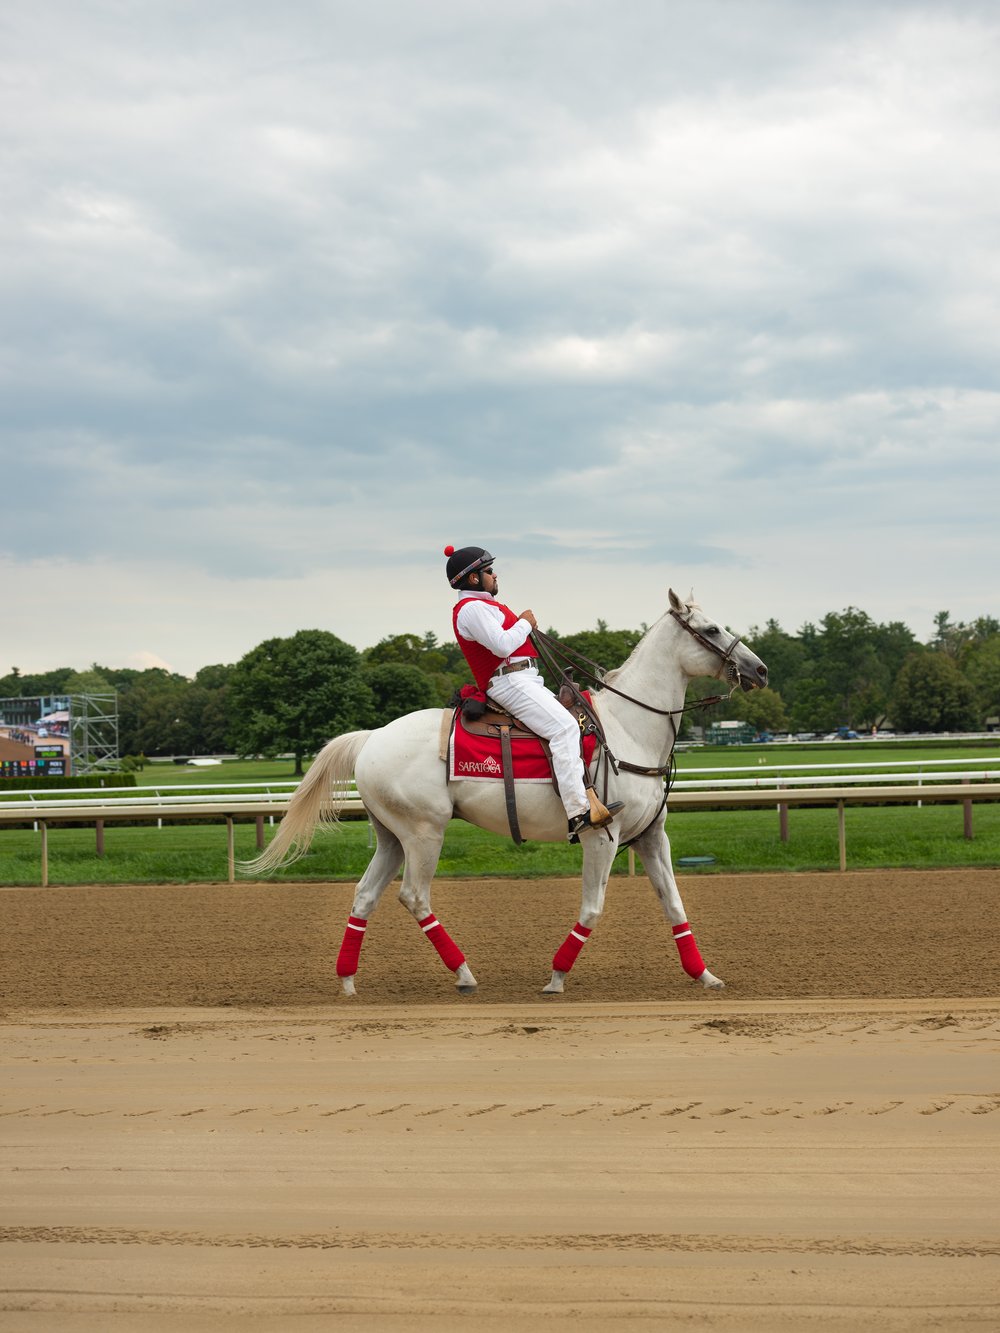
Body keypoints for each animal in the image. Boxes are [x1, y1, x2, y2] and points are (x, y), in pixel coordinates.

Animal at [246, 589, 773, 997]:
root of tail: (372, 736)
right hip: (424, 834)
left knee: (363, 898)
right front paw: (556, 977)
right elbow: (592, 909)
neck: (628, 730)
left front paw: (704, 975)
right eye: (711, 629)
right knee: (414, 897)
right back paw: (463, 973)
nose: (761, 669)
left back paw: (348, 981)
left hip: (391, 838)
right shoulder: (601, 838)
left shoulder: (651, 836)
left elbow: (675, 905)